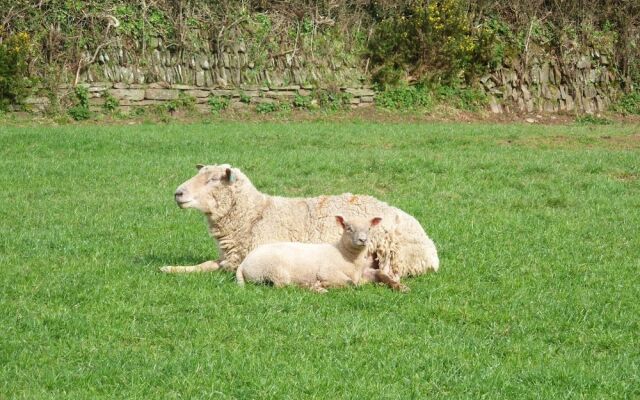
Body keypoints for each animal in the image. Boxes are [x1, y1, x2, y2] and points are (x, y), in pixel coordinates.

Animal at [235, 217, 384, 292]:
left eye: (369, 229)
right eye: (349, 228)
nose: (363, 240)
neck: (346, 255)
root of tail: (243, 264)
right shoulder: (327, 272)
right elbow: (350, 283)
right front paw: (325, 285)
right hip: (274, 271)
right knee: (283, 286)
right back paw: (315, 288)